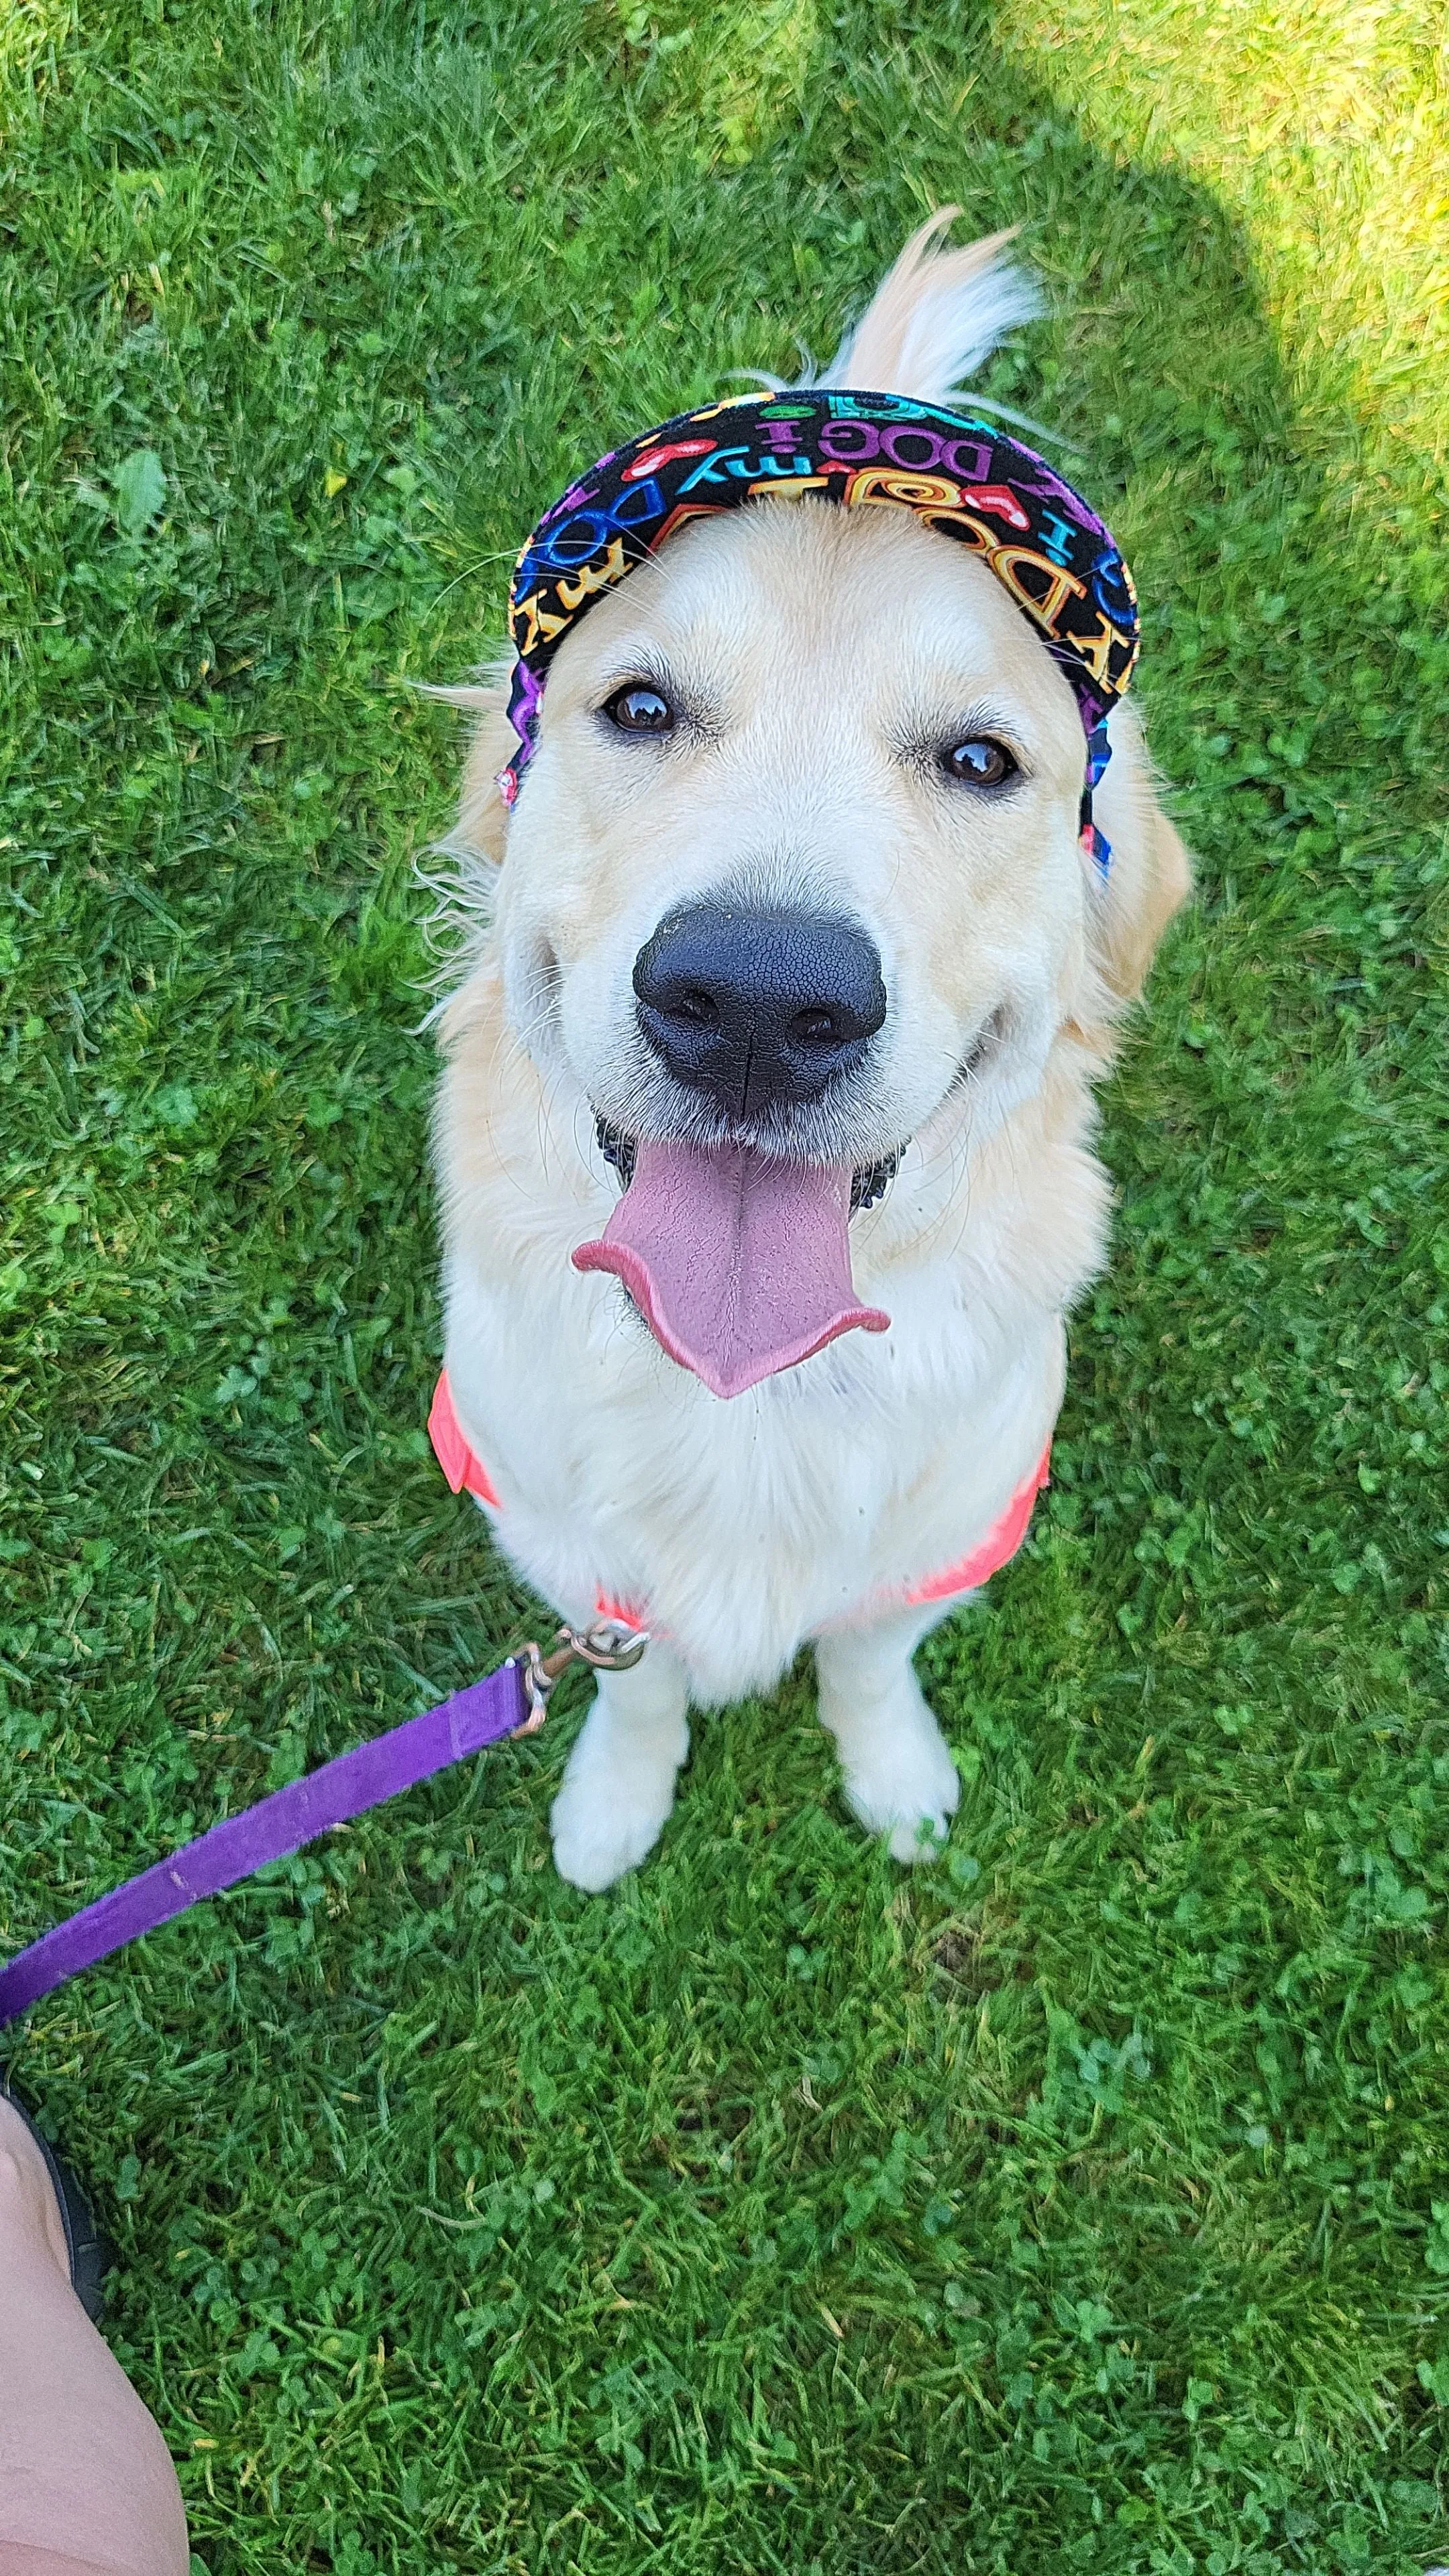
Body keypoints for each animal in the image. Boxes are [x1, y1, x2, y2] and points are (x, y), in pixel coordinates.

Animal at [425, 216, 1185, 1896]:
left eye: (982, 759)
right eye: (640, 705)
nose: (761, 1005)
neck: (747, 1391)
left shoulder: (950, 1531)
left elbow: (869, 1658)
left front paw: (896, 1778)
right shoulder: (570, 1555)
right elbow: (641, 1692)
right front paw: (612, 1806)